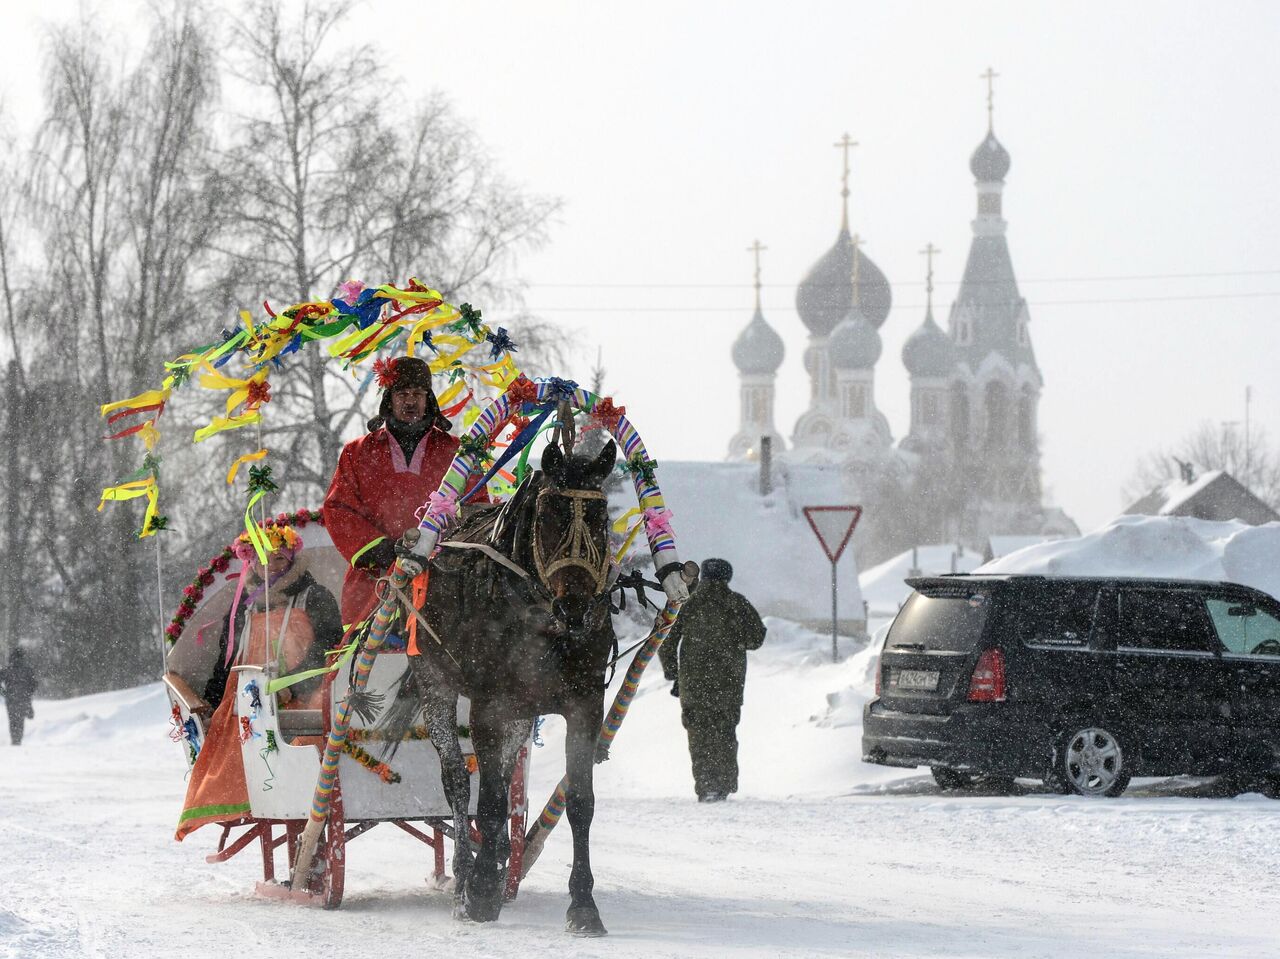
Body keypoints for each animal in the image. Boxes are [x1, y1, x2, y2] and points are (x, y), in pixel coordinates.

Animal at [378, 437, 619, 932]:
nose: (575, 608)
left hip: (522, 710)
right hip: (436, 683)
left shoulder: (585, 704)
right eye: (549, 516)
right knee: (457, 780)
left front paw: (583, 904)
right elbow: (486, 801)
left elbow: (579, 801)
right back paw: (465, 876)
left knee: (505, 779)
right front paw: (482, 890)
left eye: (601, 518)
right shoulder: (490, 705)